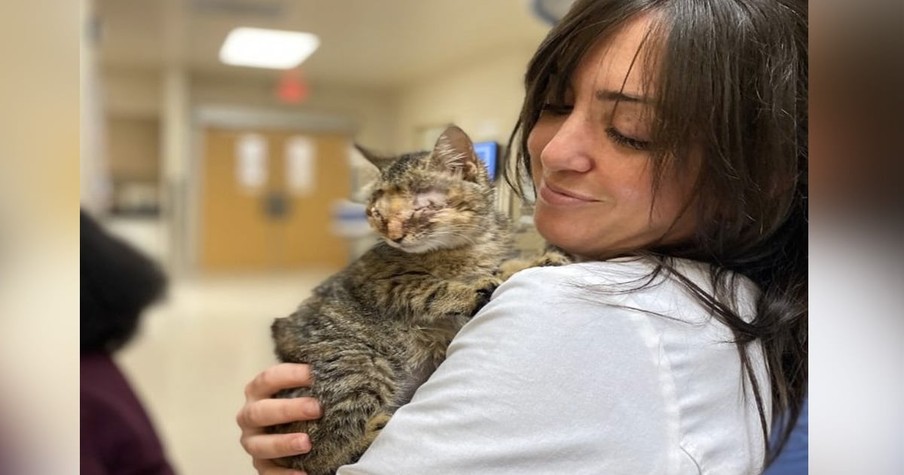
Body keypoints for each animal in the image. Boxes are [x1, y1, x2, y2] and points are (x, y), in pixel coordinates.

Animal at [270, 124, 516, 474]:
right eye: (377, 214)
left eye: (422, 206)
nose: (394, 236)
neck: (469, 248)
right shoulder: (385, 283)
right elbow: (433, 288)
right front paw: (473, 289)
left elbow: (505, 266)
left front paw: (536, 260)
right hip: (359, 365)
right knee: (318, 457)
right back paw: (374, 429)